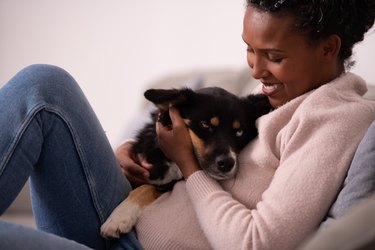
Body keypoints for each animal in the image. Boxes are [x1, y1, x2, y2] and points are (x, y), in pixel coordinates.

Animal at [99, 86, 274, 238]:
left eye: (239, 132)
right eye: (205, 124)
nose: (227, 163)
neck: (172, 162)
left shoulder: (169, 185)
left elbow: (146, 188)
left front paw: (120, 218)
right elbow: (144, 186)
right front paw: (120, 215)